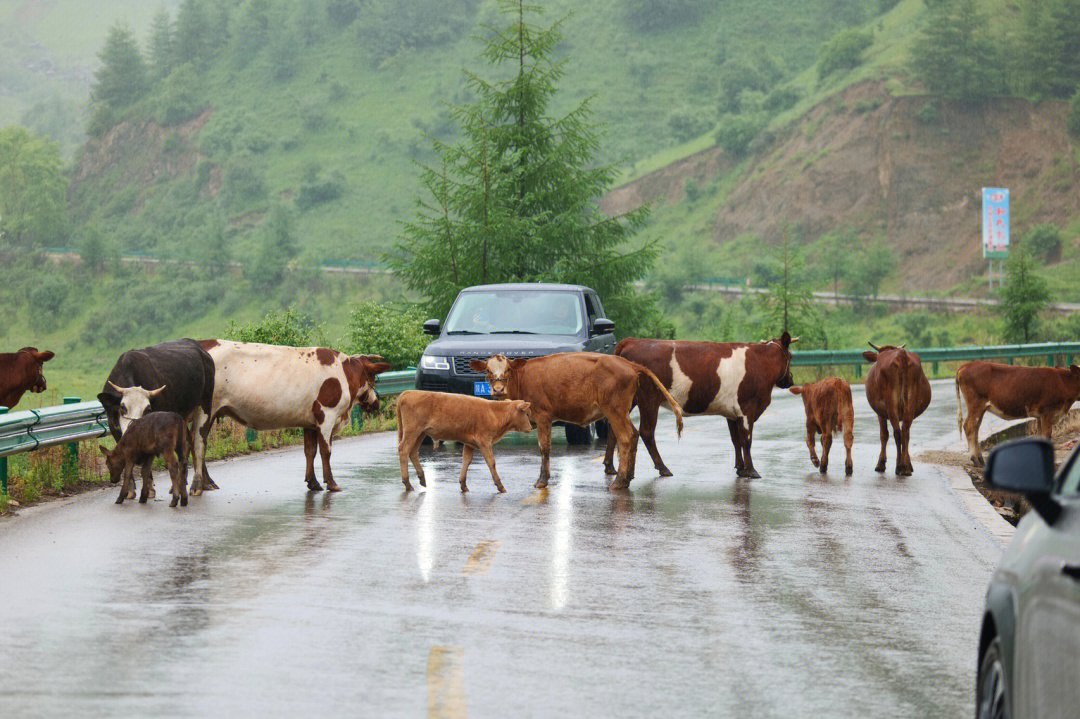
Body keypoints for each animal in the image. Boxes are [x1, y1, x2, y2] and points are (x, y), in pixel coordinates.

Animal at [191, 341, 393, 492]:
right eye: (374, 378)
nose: (377, 403)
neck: (344, 373)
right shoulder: (327, 416)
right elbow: (326, 451)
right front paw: (332, 483)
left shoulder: (310, 422)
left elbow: (310, 451)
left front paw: (313, 482)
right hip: (206, 410)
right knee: (199, 442)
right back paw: (202, 484)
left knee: (200, 442)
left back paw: (208, 482)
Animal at [395, 386, 533, 492]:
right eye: (526, 413)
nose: (531, 427)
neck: (494, 412)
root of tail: (409, 392)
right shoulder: (484, 441)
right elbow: (491, 462)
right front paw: (500, 486)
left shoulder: (470, 444)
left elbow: (466, 461)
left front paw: (463, 485)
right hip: (412, 431)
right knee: (404, 450)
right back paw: (407, 483)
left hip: (420, 433)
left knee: (413, 452)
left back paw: (422, 478)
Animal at [466, 351, 682, 490]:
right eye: (488, 370)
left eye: (508, 370)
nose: (498, 389)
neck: (524, 379)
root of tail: (629, 363)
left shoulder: (544, 416)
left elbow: (544, 447)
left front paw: (542, 480)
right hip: (622, 411)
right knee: (635, 435)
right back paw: (628, 476)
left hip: (615, 411)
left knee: (626, 438)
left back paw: (620, 481)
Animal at [604, 332, 799, 479]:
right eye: (790, 356)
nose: (790, 380)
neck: (760, 362)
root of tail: (632, 341)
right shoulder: (747, 409)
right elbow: (747, 440)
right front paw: (751, 470)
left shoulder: (732, 413)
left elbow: (735, 440)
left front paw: (740, 468)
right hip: (648, 399)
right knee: (646, 432)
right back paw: (663, 467)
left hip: (629, 400)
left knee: (614, 429)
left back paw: (609, 466)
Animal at [859, 341, 928, 475]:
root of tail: (902, 355)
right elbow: (906, 435)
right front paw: (909, 463)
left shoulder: (880, 412)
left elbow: (883, 434)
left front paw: (880, 464)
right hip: (910, 404)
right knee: (905, 431)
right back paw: (905, 467)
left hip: (891, 403)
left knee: (897, 432)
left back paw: (899, 466)